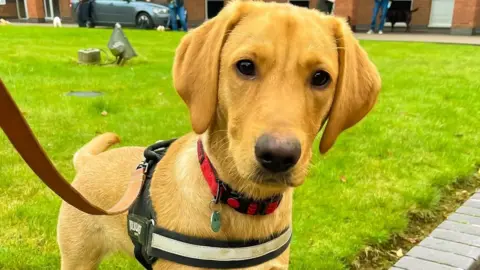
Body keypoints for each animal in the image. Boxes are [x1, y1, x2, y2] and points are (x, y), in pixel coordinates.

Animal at [56, 1, 380, 268]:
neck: (245, 205)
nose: (278, 156)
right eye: (245, 66)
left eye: (321, 77)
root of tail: (88, 162)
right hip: (77, 259)